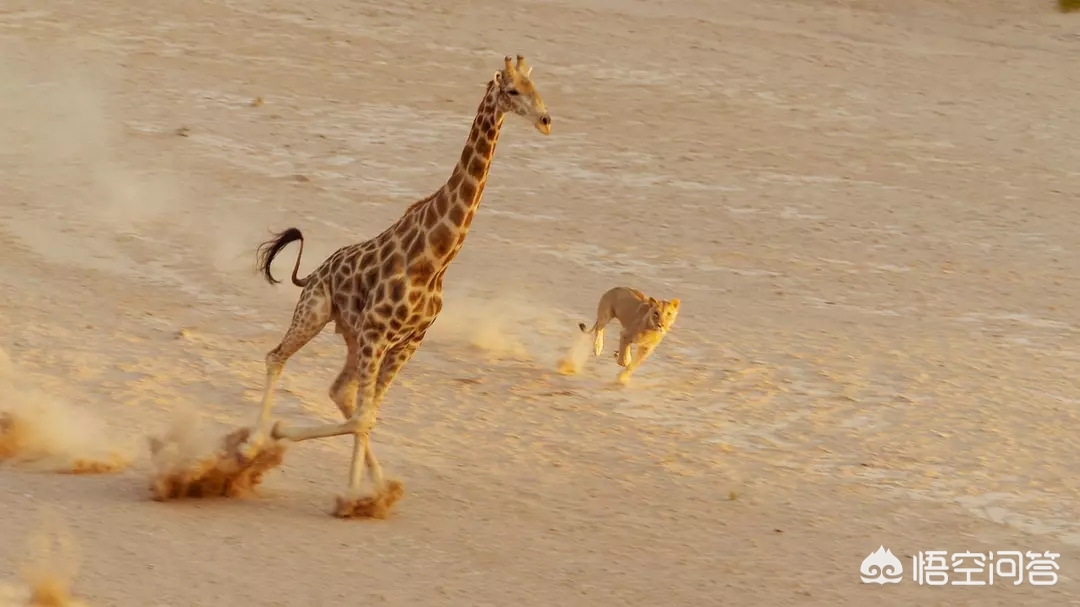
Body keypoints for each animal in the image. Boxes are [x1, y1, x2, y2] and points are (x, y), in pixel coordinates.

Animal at [243, 54, 548, 514]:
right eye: (513, 90)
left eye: (537, 88)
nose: (546, 120)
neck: (436, 258)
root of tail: (314, 273)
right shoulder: (377, 333)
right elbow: (363, 416)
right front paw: (346, 489)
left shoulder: (407, 341)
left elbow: (367, 415)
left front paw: (371, 492)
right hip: (316, 311)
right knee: (276, 357)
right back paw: (254, 444)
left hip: (352, 336)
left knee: (341, 392)